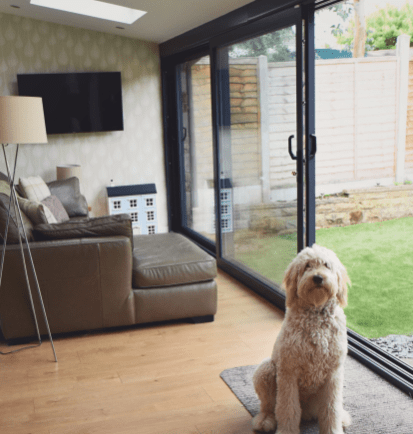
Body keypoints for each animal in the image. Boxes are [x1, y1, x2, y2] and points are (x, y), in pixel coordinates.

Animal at [251, 244, 350, 434]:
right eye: (307, 266)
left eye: (326, 265)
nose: (318, 278)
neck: (316, 316)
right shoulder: (289, 372)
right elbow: (288, 408)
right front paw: (287, 431)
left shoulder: (333, 373)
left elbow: (331, 408)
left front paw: (333, 429)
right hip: (266, 370)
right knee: (269, 406)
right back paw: (265, 420)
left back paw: (342, 417)